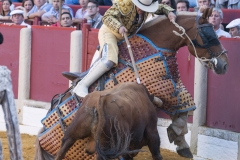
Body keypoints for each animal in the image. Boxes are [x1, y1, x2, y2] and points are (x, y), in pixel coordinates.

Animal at [35, 7, 229, 160]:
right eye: (207, 35)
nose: (224, 65)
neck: (157, 44)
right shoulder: (164, 90)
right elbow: (182, 108)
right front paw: (179, 140)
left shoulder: (173, 86)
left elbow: (185, 109)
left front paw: (181, 143)